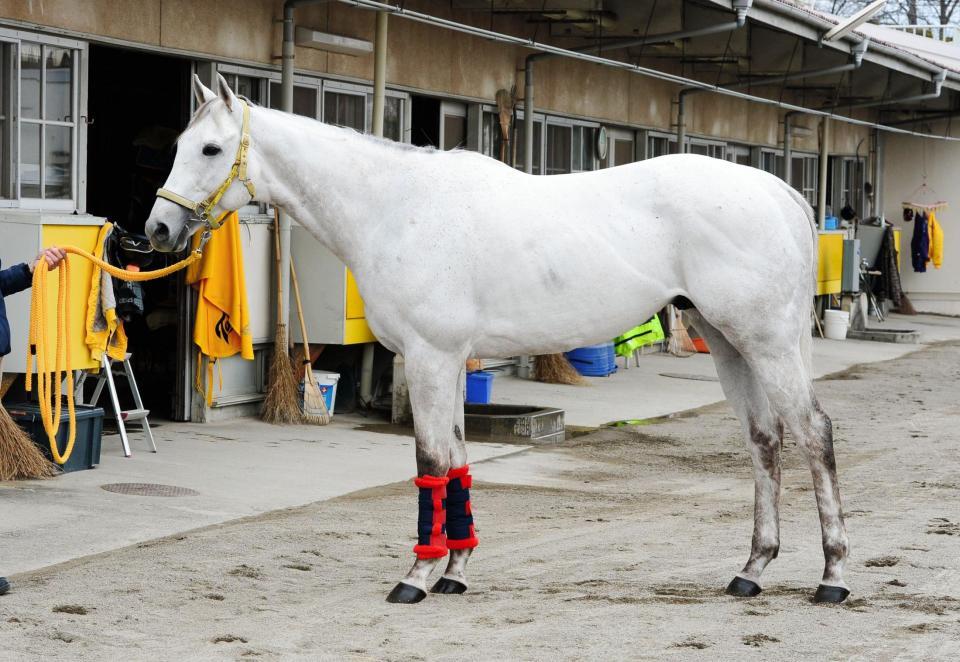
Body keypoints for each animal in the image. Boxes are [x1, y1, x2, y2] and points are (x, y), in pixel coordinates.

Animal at [146, 74, 852, 608]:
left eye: (211, 149)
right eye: (181, 143)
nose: (156, 229)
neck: (397, 206)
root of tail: (777, 190)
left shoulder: (429, 357)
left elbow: (431, 461)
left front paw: (416, 577)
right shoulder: (452, 360)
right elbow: (459, 459)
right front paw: (455, 573)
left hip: (766, 342)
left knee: (812, 433)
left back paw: (832, 577)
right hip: (728, 341)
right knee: (763, 441)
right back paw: (751, 571)